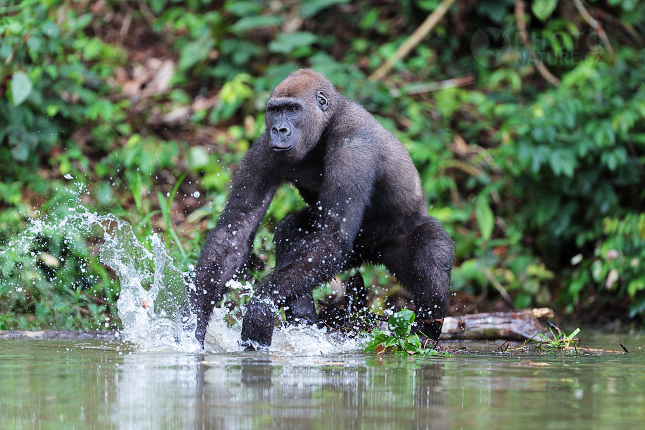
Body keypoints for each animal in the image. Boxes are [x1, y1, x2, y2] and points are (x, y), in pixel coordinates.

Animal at [191, 68, 452, 350]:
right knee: (292, 232)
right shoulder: (262, 151)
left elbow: (332, 236)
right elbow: (235, 231)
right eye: (275, 110)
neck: (327, 124)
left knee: (434, 252)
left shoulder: (354, 148)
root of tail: (372, 253)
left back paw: (425, 334)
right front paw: (192, 322)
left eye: (293, 109)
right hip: (355, 253)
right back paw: (305, 321)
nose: (279, 129)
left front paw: (261, 305)